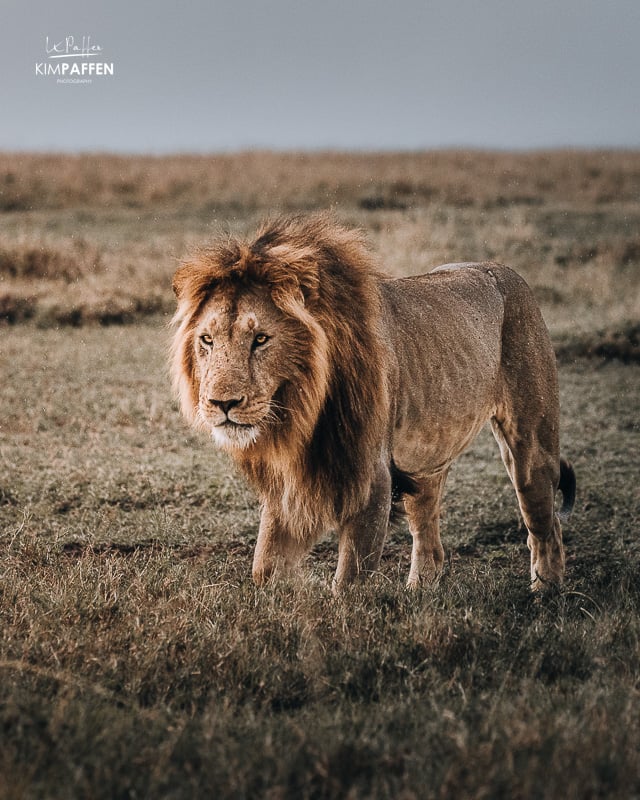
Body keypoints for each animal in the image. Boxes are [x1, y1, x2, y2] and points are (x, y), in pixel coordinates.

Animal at [170, 216, 576, 592]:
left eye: (261, 339)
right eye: (207, 340)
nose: (221, 403)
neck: (300, 411)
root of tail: (507, 271)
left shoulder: (371, 478)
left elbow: (349, 580)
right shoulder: (292, 482)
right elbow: (265, 567)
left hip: (531, 445)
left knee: (545, 522)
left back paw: (545, 591)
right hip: (424, 463)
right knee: (429, 535)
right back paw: (418, 591)